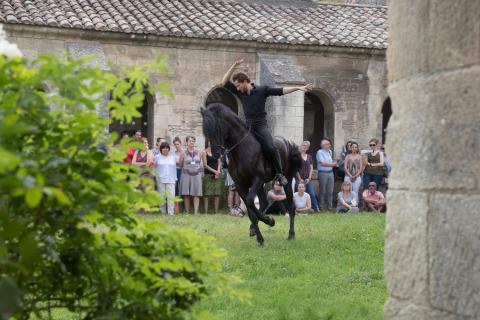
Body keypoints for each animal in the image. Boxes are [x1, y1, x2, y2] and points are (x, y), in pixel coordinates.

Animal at [201, 102, 302, 245]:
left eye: (217, 128)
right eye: (205, 130)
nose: (215, 154)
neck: (241, 148)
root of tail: (287, 142)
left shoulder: (257, 179)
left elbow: (250, 202)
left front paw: (268, 222)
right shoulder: (240, 185)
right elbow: (250, 210)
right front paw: (262, 232)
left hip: (286, 180)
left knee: (291, 207)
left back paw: (291, 234)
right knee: (264, 202)